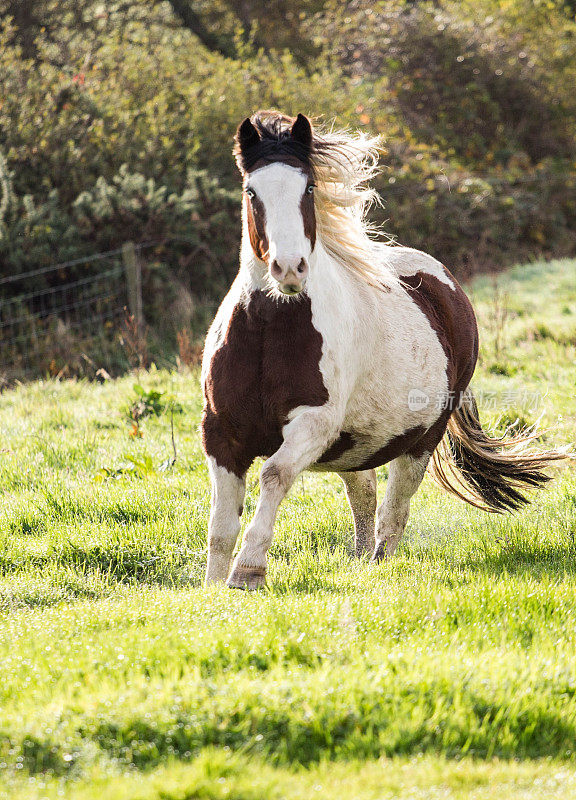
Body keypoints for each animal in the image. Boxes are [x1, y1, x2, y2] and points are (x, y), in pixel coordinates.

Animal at [200, 111, 560, 588]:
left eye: (308, 188)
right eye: (251, 191)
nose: (289, 268)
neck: (268, 331)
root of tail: (445, 285)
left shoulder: (313, 423)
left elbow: (274, 475)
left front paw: (248, 571)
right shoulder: (221, 432)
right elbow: (221, 524)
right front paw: (211, 586)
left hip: (422, 439)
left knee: (394, 511)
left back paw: (376, 564)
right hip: (356, 444)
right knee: (364, 495)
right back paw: (357, 557)